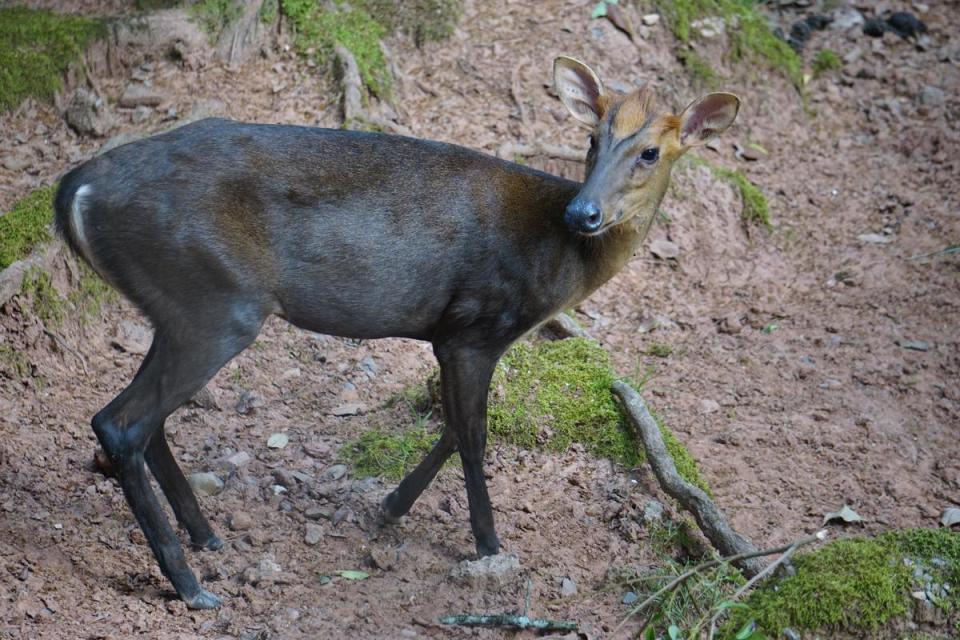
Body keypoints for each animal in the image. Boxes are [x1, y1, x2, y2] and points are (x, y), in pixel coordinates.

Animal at [56, 57, 740, 608]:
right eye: (592, 139)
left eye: (650, 151)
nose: (585, 213)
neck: (557, 260)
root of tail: (77, 185)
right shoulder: (474, 326)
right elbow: (473, 435)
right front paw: (489, 544)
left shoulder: (458, 335)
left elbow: (453, 427)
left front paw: (389, 509)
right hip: (216, 302)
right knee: (120, 421)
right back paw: (191, 585)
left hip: (174, 307)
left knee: (145, 420)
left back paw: (207, 537)